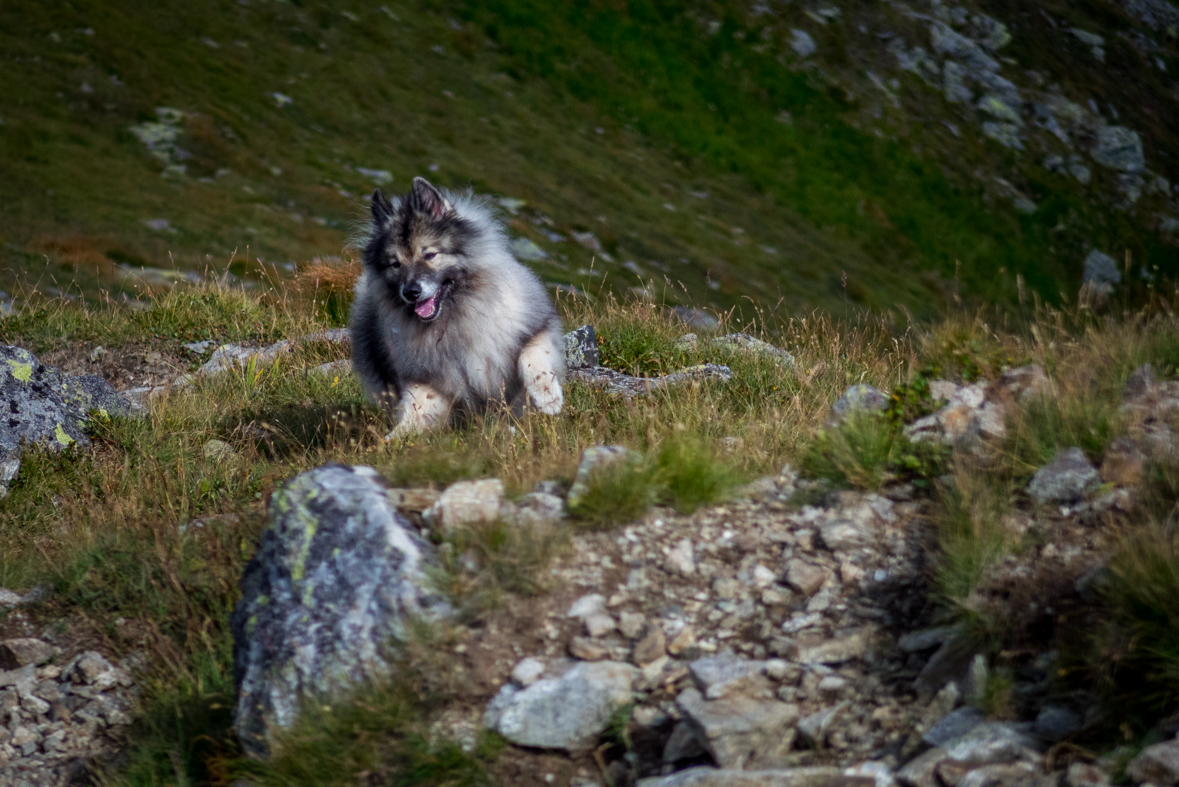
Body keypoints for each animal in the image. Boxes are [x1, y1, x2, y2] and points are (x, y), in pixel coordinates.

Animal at [346, 175, 563, 440]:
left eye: (430, 255)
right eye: (395, 264)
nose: (410, 292)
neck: (453, 317)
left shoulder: (536, 327)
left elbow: (532, 355)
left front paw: (548, 397)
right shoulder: (430, 380)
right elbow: (416, 410)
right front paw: (391, 441)